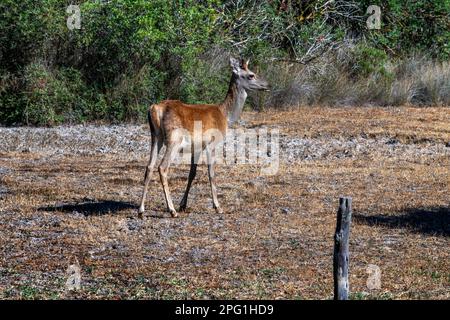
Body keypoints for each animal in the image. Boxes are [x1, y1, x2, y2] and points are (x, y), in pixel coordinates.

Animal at [139, 57, 268, 218]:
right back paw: (171, 210)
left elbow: (192, 174)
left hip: (155, 137)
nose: (266, 85)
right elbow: (211, 173)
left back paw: (141, 210)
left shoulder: (197, 147)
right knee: (162, 167)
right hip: (174, 140)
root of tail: (155, 109)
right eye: (251, 75)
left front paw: (183, 204)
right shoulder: (212, 143)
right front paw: (217, 206)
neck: (225, 116)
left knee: (149, 166)